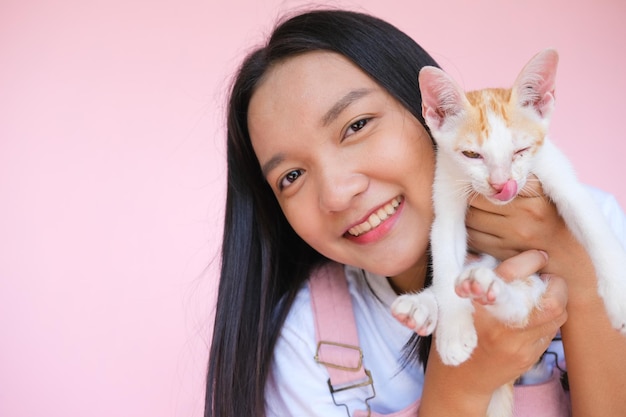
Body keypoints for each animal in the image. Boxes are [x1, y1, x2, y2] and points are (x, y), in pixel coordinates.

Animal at [390, 49, 624, 416]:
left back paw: (486, 289)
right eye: (472, 154)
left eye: (520, 151)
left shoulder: (559, 175)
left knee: (519, 310)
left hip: (536, 285)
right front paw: (454, 331)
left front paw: (618, 297)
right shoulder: (446, 198)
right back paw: (422, 307)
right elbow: (444, 258)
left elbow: (593, 225)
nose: (502, 185)